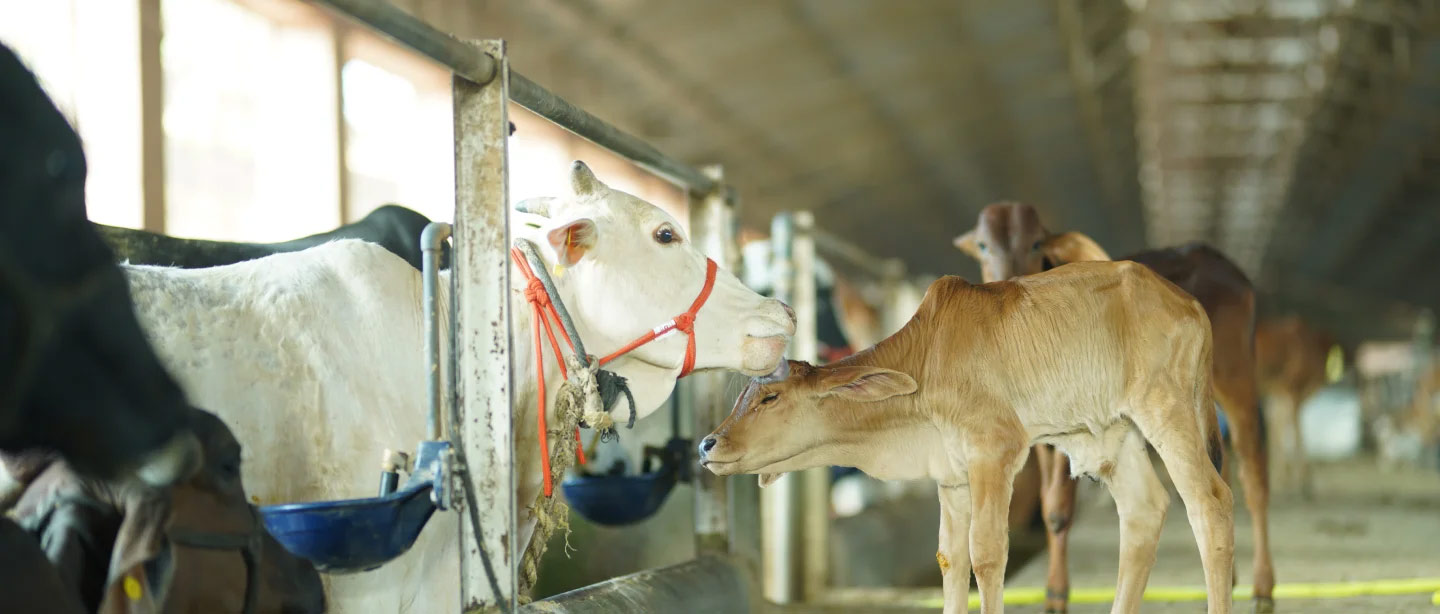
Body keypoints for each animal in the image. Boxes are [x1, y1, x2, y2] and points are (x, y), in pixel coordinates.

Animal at [699, 262, 1235, 614]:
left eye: (770, 398)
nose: (707, 444)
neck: (925, 363)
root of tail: (1188, 303)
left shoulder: (994, 450)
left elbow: (986, 552)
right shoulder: (951, 474)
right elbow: (950, 559)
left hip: (1167, 409)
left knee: (1210, 504)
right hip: (1114, 435)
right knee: (1144, 512)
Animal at [953, 201, 1274, 613]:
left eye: (1036, 242)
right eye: (982, 245)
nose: (1007, 281)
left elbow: (1059, 509)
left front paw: (1058, 594)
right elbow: (1047, 506)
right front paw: (1053, 590)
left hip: (1236, 377)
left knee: (1253, 474)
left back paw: (1263, 585)